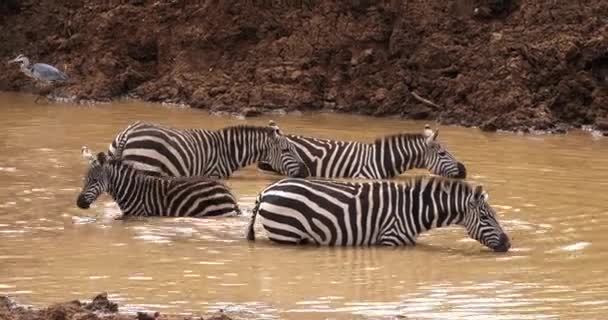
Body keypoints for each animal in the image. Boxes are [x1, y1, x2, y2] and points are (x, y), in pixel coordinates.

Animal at [78, 148, 242, 219]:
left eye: (94, 180)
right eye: (85, 180)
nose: (79, 203)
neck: (131, 189)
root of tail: (228, 192)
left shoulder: (138, 215)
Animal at [107, 121, 308, 179]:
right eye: (286, 150)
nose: (306, 172)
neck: (227, 151)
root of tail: (128, 131)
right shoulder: (213, 174)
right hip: (146, 167)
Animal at [245, 176, 510, 251]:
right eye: (486, 217)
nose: (508, 244)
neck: (413, 210)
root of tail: (266, 190)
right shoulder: (391, 240)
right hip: (286, 234)